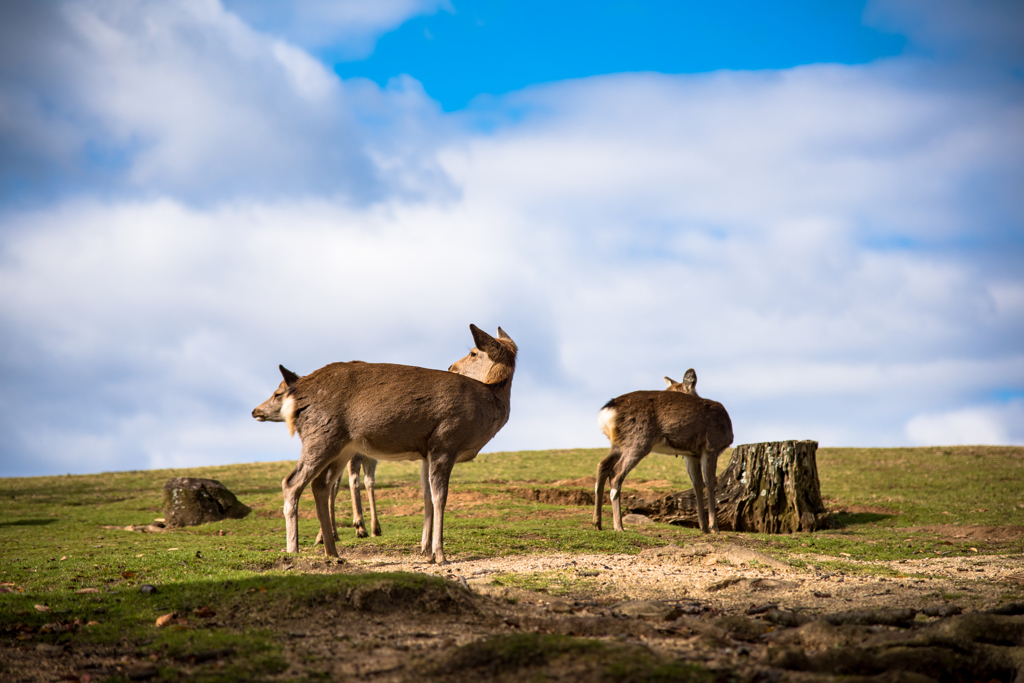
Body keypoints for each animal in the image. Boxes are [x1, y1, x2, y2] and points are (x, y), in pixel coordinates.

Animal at [251, 325, 516, 565]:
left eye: (472, 353)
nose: (451, 367)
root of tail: (296, 394)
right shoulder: (445, 441)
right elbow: (440, 497)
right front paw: (441, 555)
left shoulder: (427, 451)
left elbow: (426, 497)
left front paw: (426, 551)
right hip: (321, 435)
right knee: (291, 482)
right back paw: (294, 549)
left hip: (342, 446)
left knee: (321, 485)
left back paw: (333, 551)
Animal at [598, 368, 733, 532]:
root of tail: (607, 410)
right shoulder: (711, 446)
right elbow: (710, 482)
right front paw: (714, 528)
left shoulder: (691, 454)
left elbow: (697, 483)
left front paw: (703, 527)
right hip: (638, 440)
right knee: (617, 473)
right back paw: (619, 526)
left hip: (618, 443)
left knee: (603, 465)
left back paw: (597, 523)